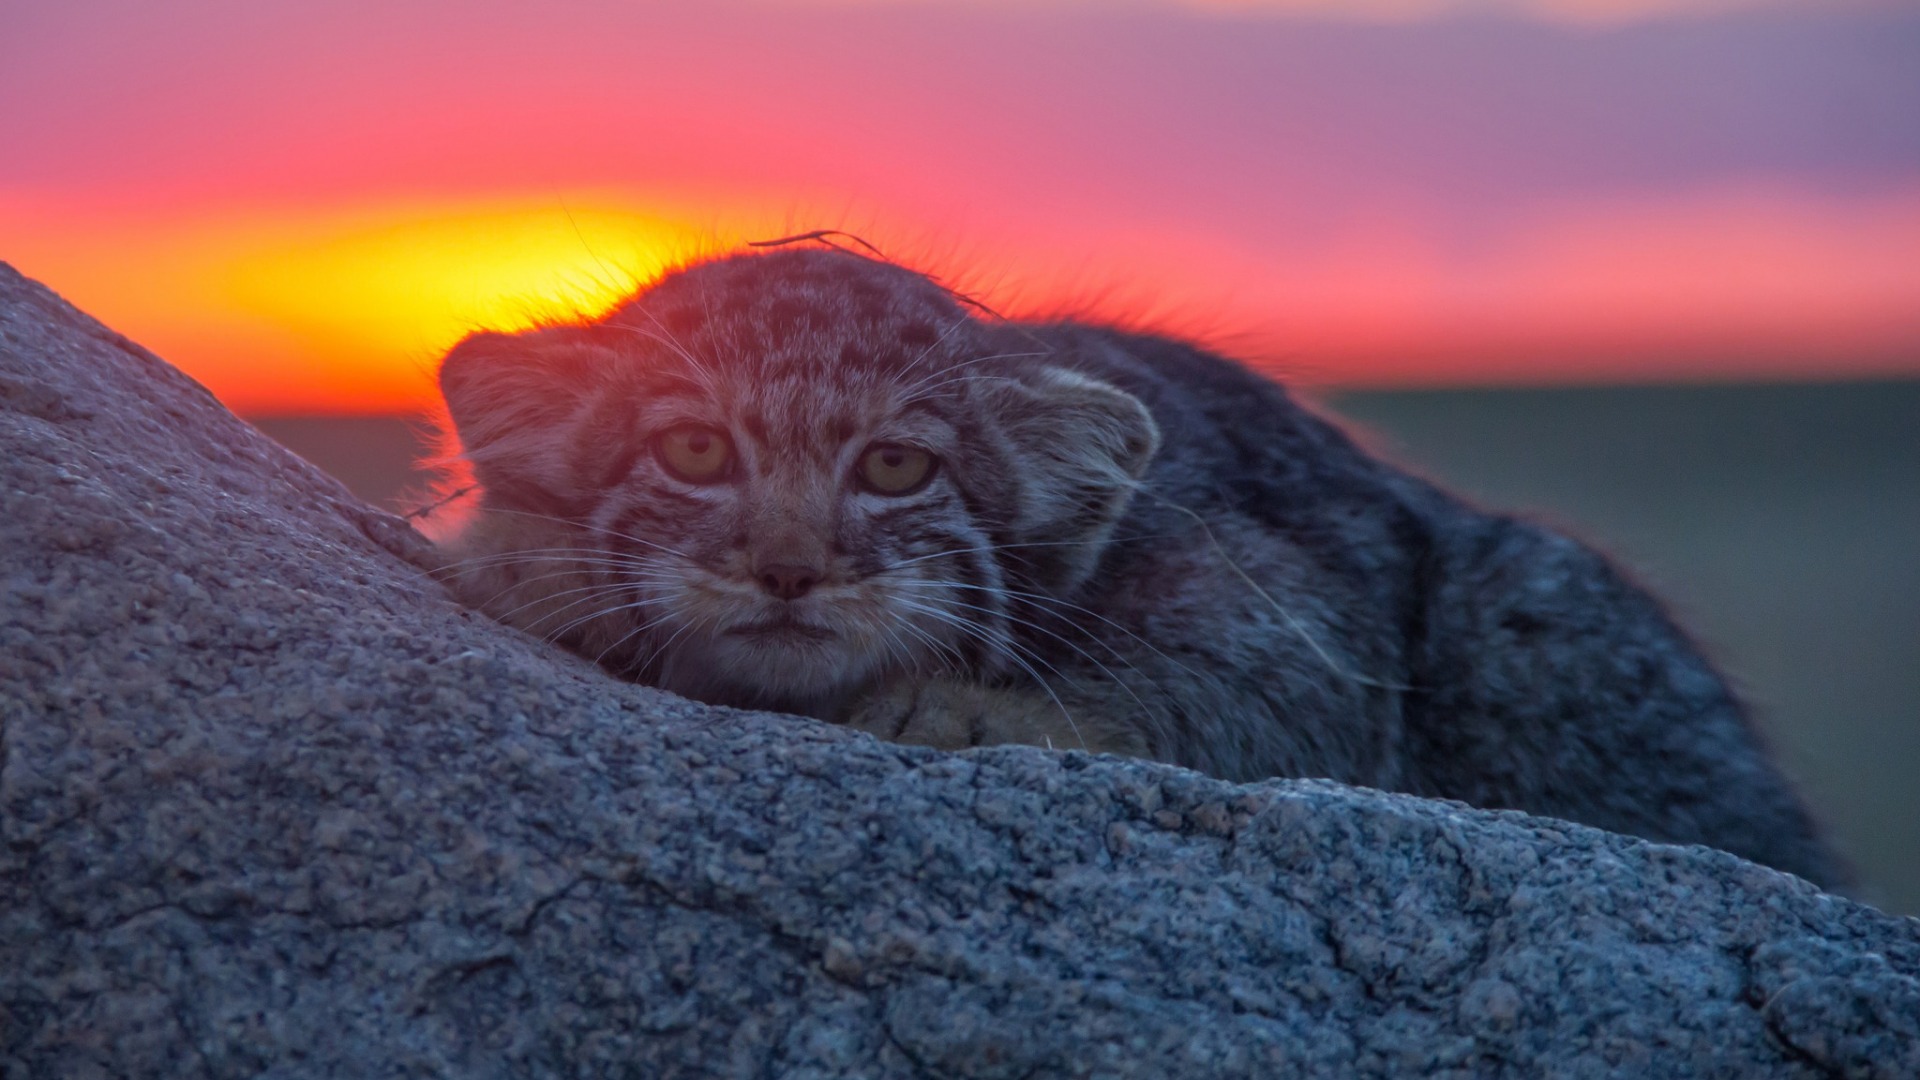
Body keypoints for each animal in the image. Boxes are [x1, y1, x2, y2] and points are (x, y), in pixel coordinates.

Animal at [432, 247, 1843, 887]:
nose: (789, 567)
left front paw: (957, 706)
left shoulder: (1292, 610)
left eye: (895, 468)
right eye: (692, 450)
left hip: (1537, 621)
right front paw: (529, 562)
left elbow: (1201, 699)